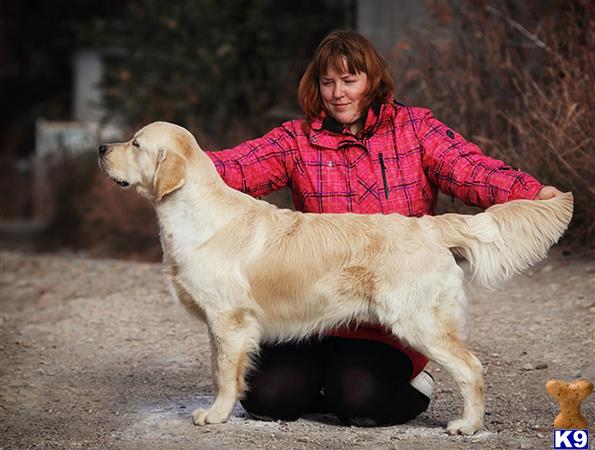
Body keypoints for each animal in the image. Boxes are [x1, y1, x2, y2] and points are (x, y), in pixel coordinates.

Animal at [96, 121, 572, 434]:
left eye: (135, 143)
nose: (100, 147)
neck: (195, 213)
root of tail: (428, 227)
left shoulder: (227, 319)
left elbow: (222, 374)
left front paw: (214, 415)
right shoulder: (228, 324)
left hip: (420, 322)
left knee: (471, 368)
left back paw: (467, 425)